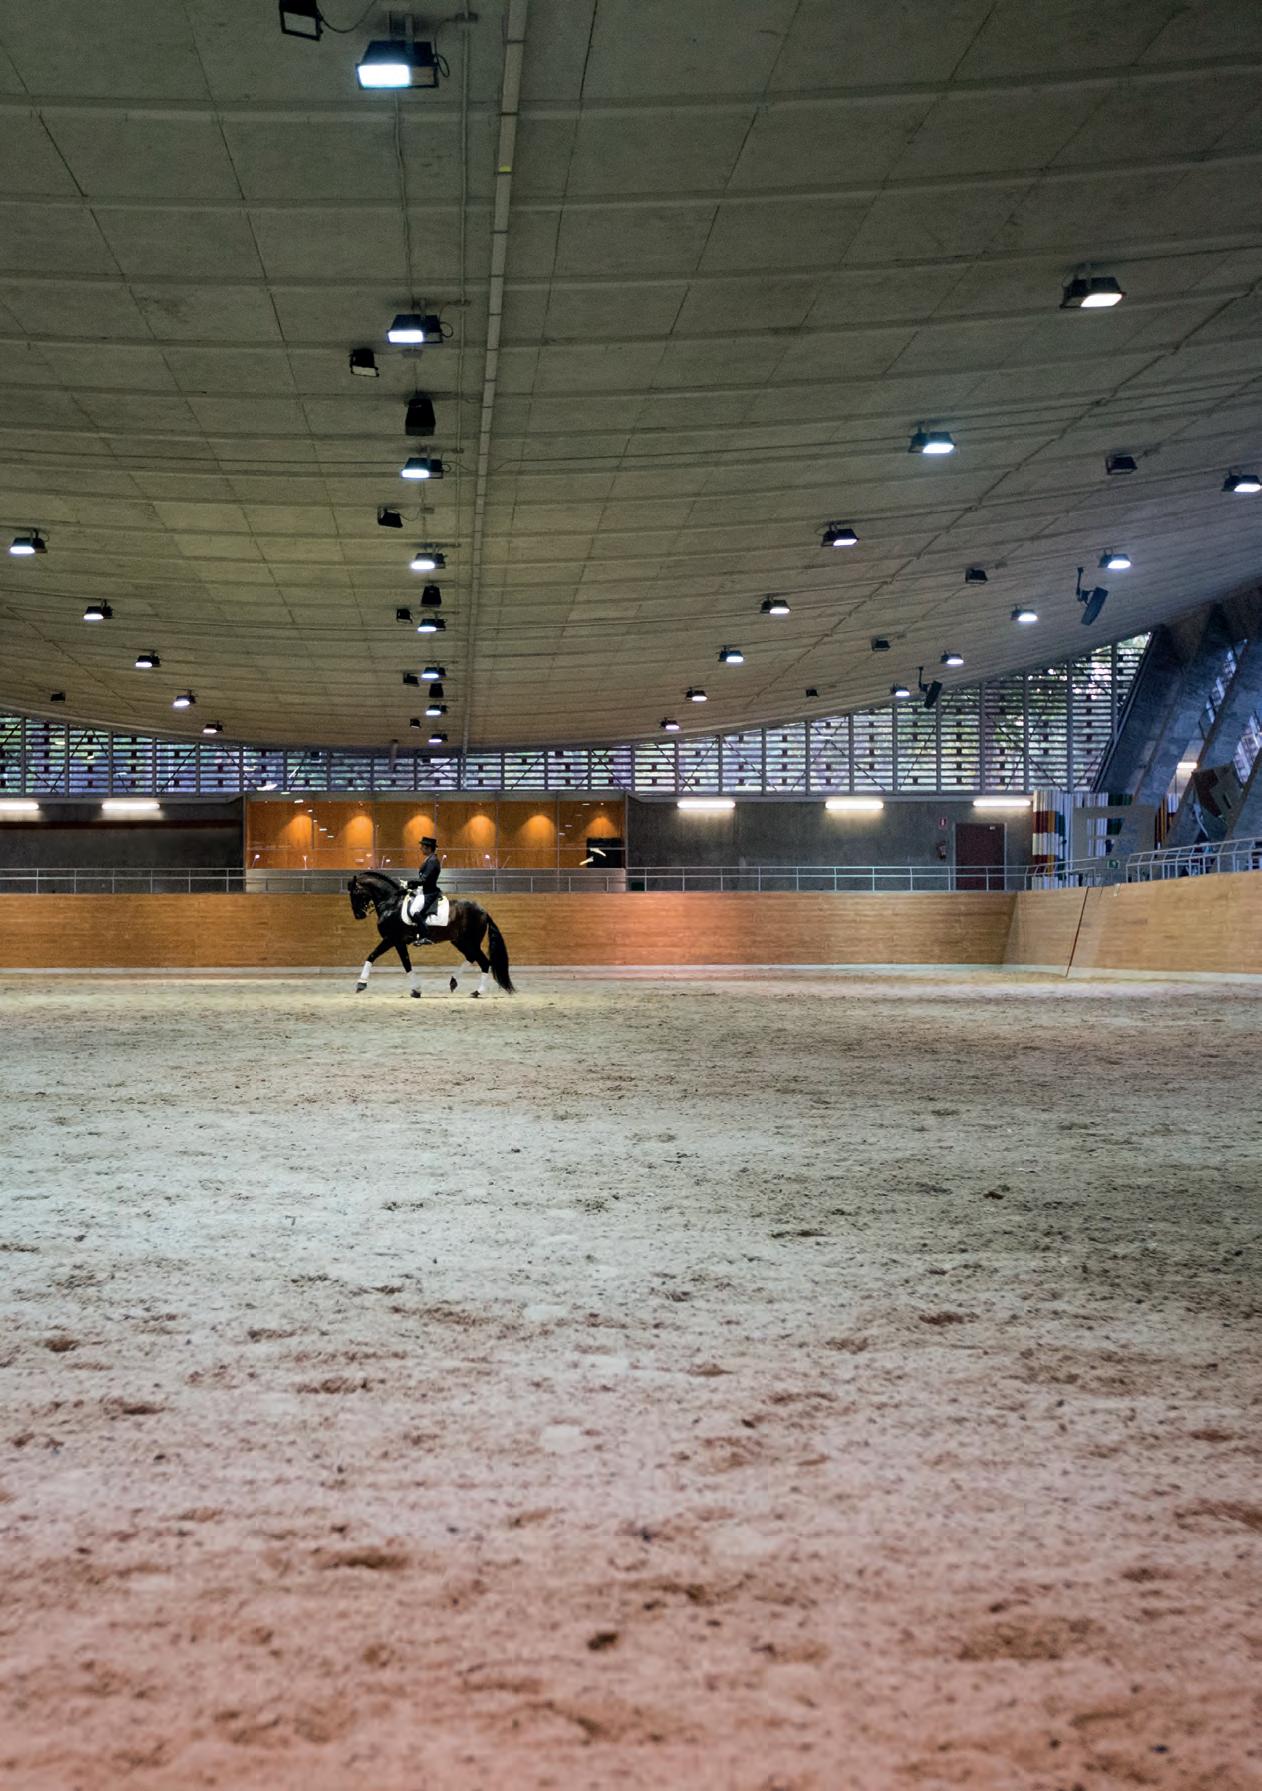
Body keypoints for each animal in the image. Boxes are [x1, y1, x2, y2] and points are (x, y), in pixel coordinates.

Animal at [347, 869, 515, 999]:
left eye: (355, 892)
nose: (358, 915)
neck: (391, 904)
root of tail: (483, 911)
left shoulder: (391, 939)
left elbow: (371, 955)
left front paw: (361, 984)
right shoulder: (399, 942)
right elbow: (406, 964)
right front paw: (416, 990)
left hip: (470, 941)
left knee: (484, 962)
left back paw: (477, 992)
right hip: (460, 941)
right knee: (472, 958)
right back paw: (455, 982)